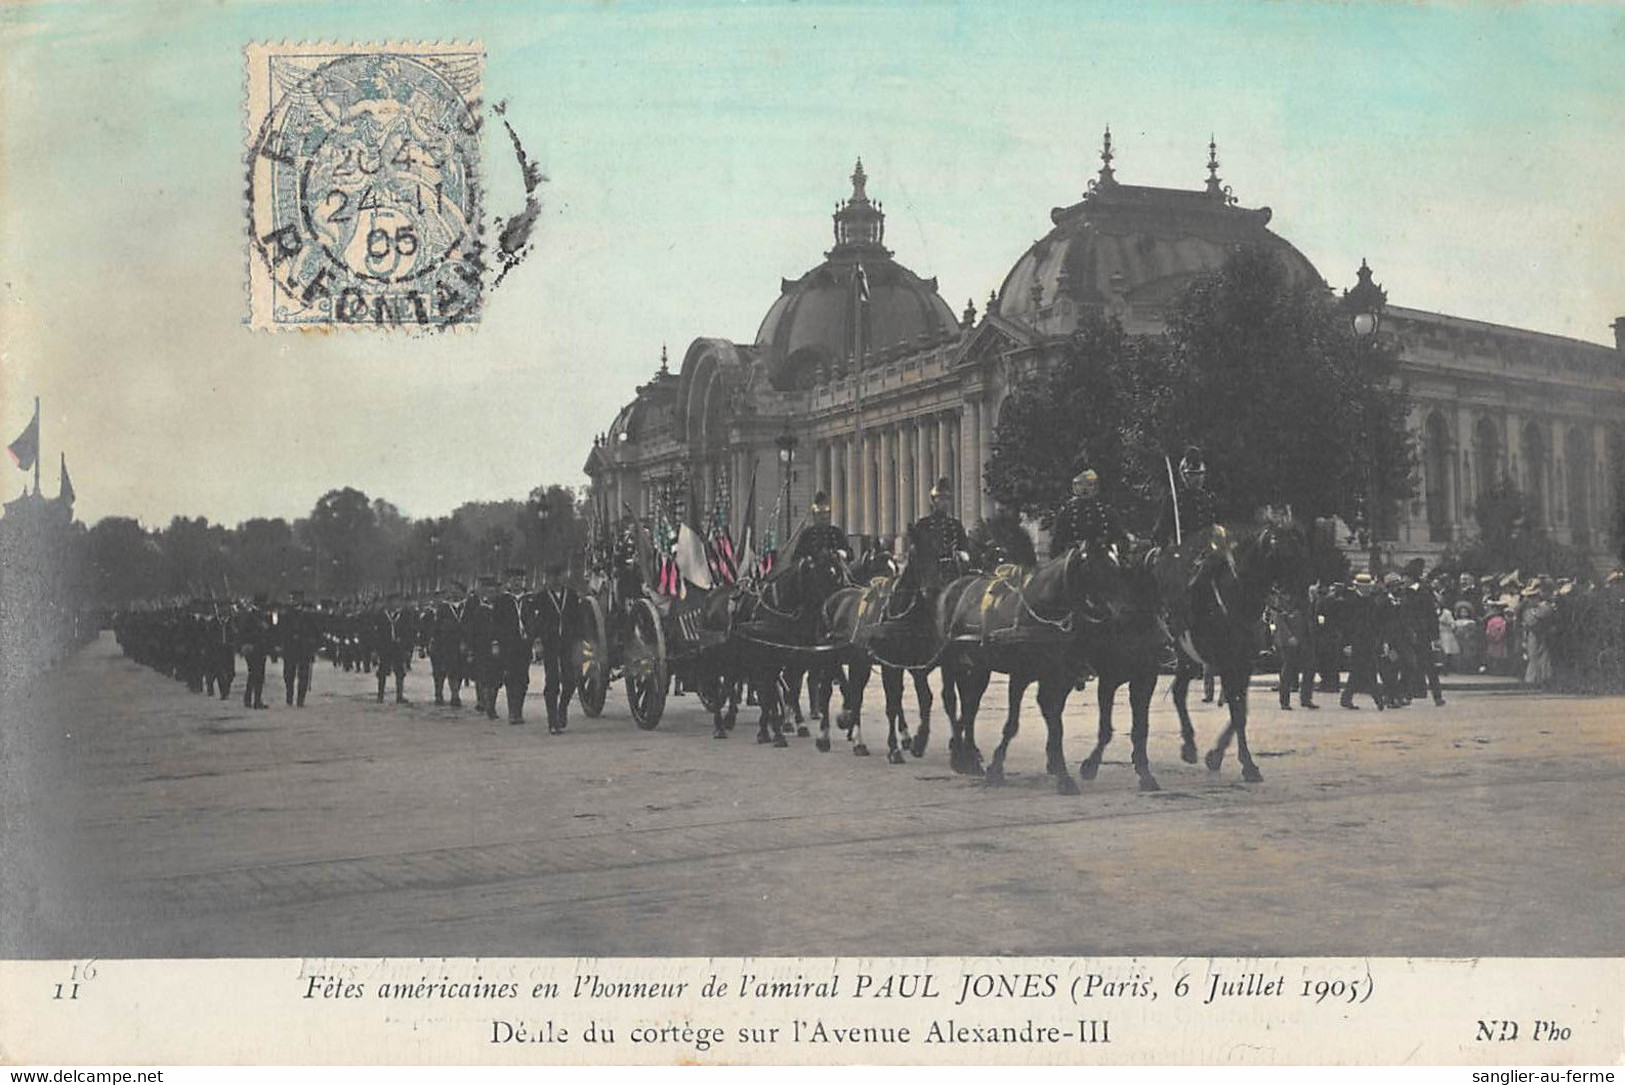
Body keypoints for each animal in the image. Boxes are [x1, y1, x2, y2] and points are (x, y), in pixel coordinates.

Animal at [936, 545, 1137, 792]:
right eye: (1098, 567)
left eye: (1118, 564)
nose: (1127, 609)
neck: (1043, 611)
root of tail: (954, 585)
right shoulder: (1020, 675)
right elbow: (1013, 724)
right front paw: (996, 769)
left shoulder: (1057, 676)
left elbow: (1056, 723)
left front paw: (1061, 773)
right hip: (951, 661)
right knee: (951, 700)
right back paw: (959, 756)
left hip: (980, 666)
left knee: (970, 705)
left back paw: (971, 757)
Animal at [1163, 519, 1313, 779]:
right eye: (1283, 554)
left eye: (1301, 551)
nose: (1300, 597)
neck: (1238, 598)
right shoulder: (1226, 663)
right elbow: (1237, 710)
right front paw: (1245, 763)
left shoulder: (1244, 665)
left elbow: (1241, 712)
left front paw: (1219, 757)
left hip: (1188, 659)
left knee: (1179, 693)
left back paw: (1189, 746)